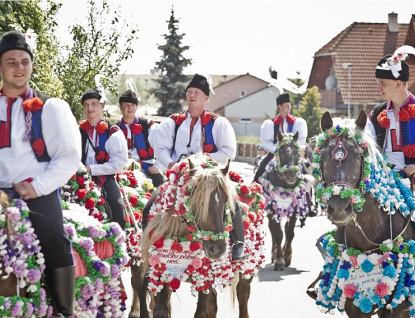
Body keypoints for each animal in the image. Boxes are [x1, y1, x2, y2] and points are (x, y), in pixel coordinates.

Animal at [132, 153, 264, 316]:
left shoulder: (206, 279)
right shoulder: (161, 274)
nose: (217, 249)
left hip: (248, 268)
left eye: (227, 200)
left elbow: (201, 312)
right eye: (195, 202)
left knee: (243, 294)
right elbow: (161, 310)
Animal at [258, 132, 314, 270]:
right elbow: (278, 233)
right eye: (282, 152)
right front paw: (279, 260)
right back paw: (274, 253)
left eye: (296, 152)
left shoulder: (294, 208)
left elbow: (289, 233)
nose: (291, 176)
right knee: (272, 229)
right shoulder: (274, 209)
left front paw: (287, 256)